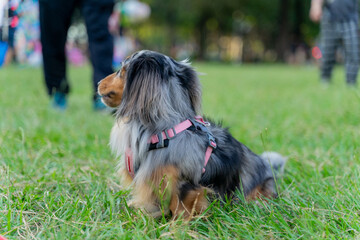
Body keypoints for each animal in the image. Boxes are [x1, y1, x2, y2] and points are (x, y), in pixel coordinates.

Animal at [97, 49, 286, 218]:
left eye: (121, 70)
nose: (98, 83)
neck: (164, 132)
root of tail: (268, 167)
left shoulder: (184, 186)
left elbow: (181, 210)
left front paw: (177, 229)